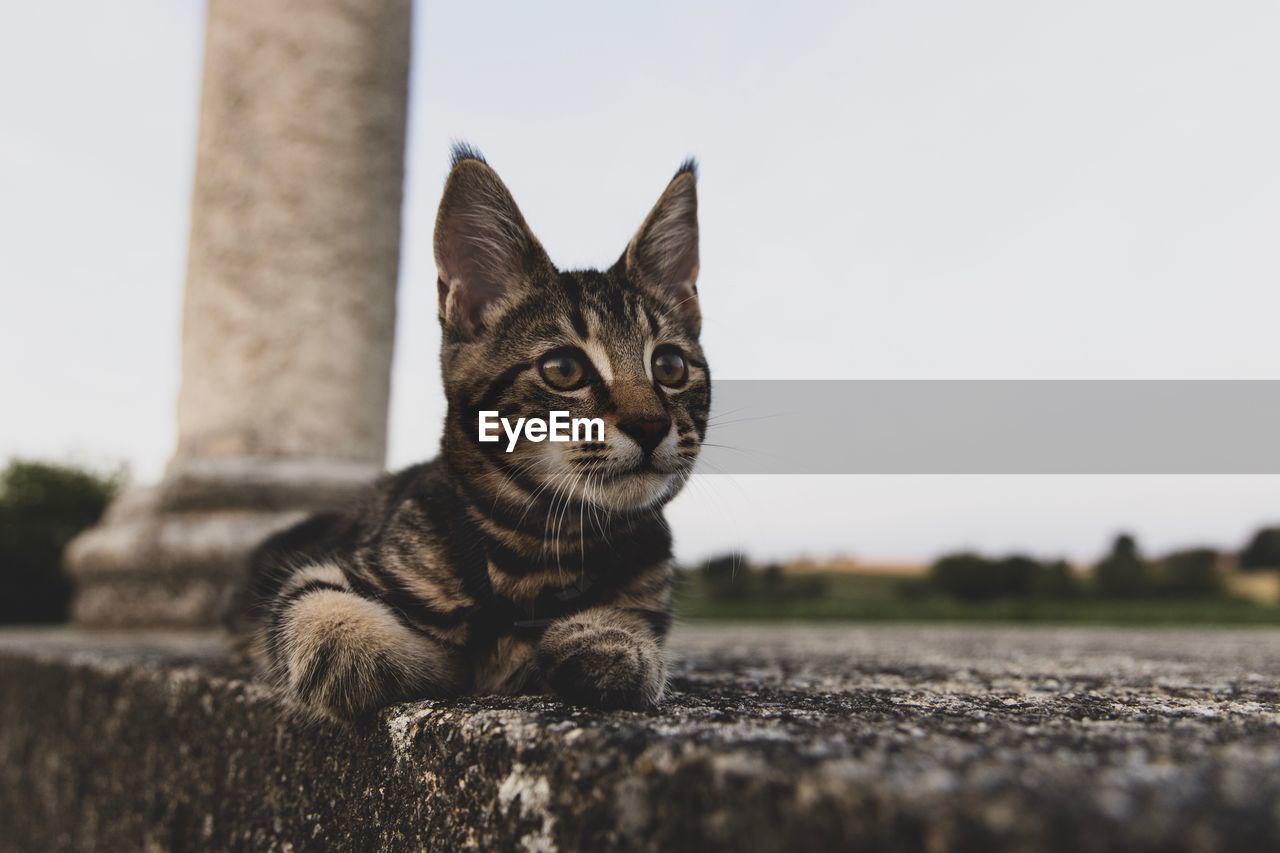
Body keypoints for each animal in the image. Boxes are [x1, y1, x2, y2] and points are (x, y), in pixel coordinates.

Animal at [240, 144, 711, 717]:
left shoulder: (648, 580)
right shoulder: (330, 571)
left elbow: (629, 620)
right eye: (564, 370)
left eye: (669, 366)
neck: (538, 552)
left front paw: (608, 641)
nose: (651, 424)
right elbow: (320, 619)